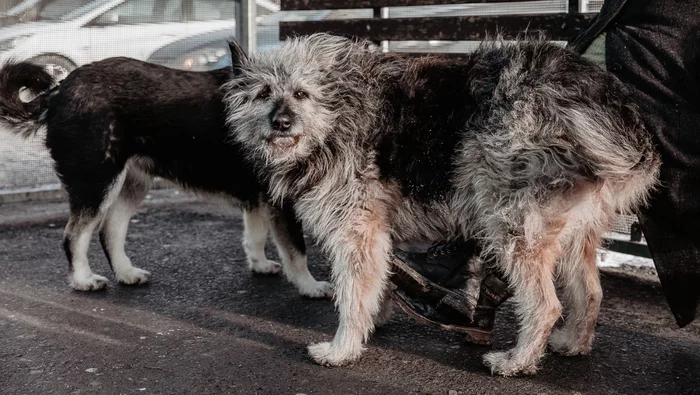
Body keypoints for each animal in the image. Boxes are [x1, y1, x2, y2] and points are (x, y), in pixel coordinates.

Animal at [0, 49, 334, 298]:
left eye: (301, 93)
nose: (283, 123)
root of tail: (60, 90)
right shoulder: (280, 202)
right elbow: (296, 250)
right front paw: (310, 286)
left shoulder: (257, 197)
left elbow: (255, 235)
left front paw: (260, 264)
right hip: (98, 182)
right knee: (74, 236)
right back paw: (83, 280)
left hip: (131, 184)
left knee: (109, 231)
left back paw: (126, 273)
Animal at [226, 34, 660, 378]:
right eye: (263, 93)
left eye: (301, 93)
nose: (281, 122)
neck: (336, 112)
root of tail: (605, 103)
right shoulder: (375, 233)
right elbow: (374, 284)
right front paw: (373, 321)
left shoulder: (356, 232)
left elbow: (351, 296)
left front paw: (342, 349)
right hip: (570, 231)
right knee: (589, 292)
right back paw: (573, 343)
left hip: (513, 225)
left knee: (545, 305)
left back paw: (516, 362)